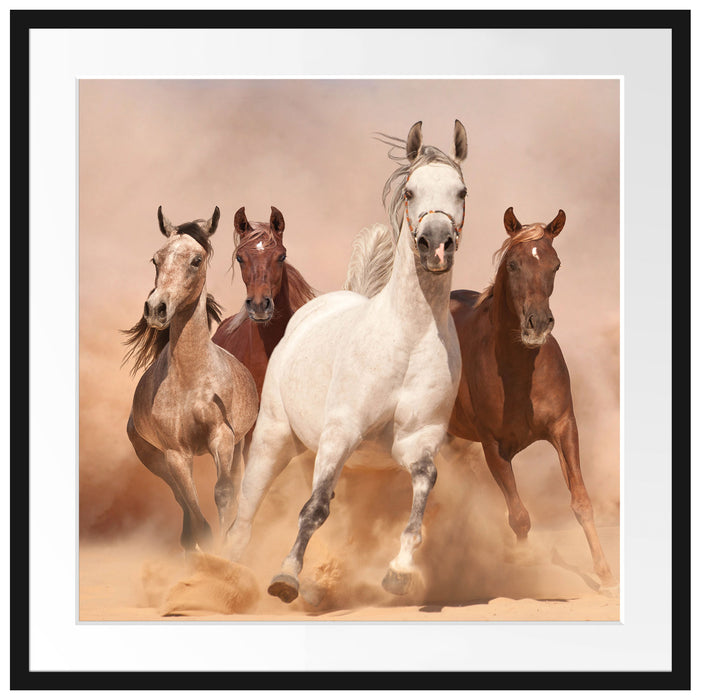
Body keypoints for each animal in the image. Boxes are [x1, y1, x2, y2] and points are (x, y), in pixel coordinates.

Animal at [123, 206, 259, 553]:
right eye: (156, 259)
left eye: (196, 260)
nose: (156, 308)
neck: (192, 382)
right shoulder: (175, 453)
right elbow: (196, 514)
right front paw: (208, 551)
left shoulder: (222, 437)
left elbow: (224, 493)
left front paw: (227, 548)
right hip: (154, 458)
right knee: (180, 500)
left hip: (237, 445)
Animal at [224, 120, 469, 603]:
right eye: (410, 191)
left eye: (461, 190)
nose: (436, 245)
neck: (409, 338)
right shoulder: (342, 431)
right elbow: (314, 508)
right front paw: (286, 577)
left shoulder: (417, 440)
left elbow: (422, 492)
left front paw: (399, 571)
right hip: (274, 437)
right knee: (246, 510)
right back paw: (222, 572)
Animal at [447, 206, 617, 589]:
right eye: (513, 264)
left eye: (555, 265)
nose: (537, 323)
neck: (519, 371)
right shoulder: (492, 446)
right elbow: (519, 516)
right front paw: (523, 564)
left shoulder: (564, 427)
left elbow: (581, 501)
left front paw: (604, 573)